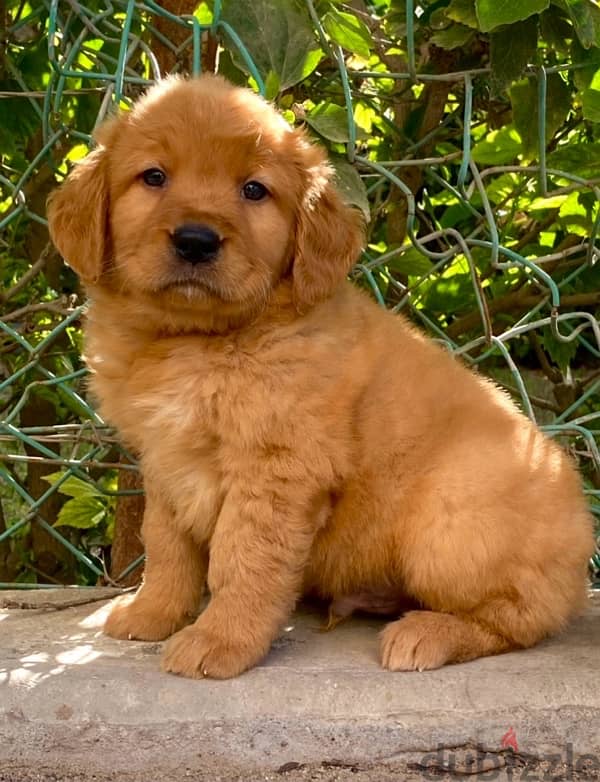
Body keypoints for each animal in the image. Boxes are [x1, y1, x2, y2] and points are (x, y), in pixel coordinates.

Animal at [45, 76, 592, 684]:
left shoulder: (278, 468)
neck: (196, 342)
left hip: (449, 520)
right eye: (153, 177)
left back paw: (427, 633)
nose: (195, 240)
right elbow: (167, 548)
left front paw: (219, 640)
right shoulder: (165, 460)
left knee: (525, 615)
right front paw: (152, 613)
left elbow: (243, 560)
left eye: (254, 190)